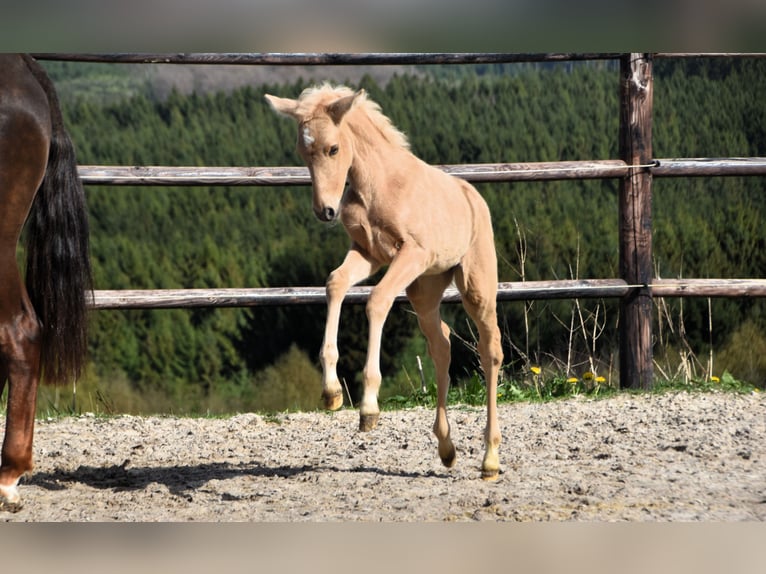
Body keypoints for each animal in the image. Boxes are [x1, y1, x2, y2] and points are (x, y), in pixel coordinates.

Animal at [268, 85, 508, 482]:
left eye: (333, 148)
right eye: (302, 152)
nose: (325, 211)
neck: (378, 185)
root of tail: (474, 198)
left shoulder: (411, 254)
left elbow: (377, 300)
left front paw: (368, 409)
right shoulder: (369, 253)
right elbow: (335, 284)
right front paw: (331, 392)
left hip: (475, 286)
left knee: (490, 351)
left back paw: (489, 459)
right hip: (425, 290)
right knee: (442, 344)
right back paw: (446, 448)